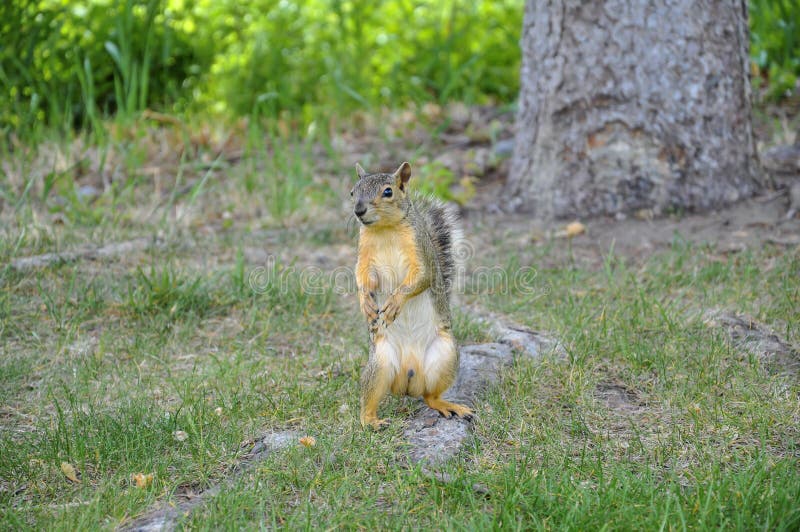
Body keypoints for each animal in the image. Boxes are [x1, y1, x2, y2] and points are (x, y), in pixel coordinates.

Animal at [352, 161, 476, 428]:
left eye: (388, 192)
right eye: (352, 191)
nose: (359, 211)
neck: (384, 230)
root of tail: (408, 379)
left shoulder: (421, 251)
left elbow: (421, 277)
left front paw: (394, 303)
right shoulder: (365, 255)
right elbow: (363, 279)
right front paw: (365, 303)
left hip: (445, 357)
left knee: (430, 396)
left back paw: (448, 405)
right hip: (380, 364)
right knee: (370, 400)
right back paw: (371, 421)